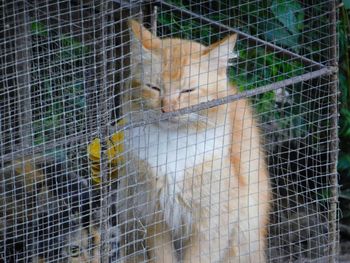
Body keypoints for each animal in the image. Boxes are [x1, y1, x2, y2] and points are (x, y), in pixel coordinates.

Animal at [117, 19, 270, 262]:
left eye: (188, 90)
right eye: (154, 88)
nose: (167, 110)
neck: (172, 147)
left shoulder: (212, 224)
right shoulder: (153, 216)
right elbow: (163, 257)